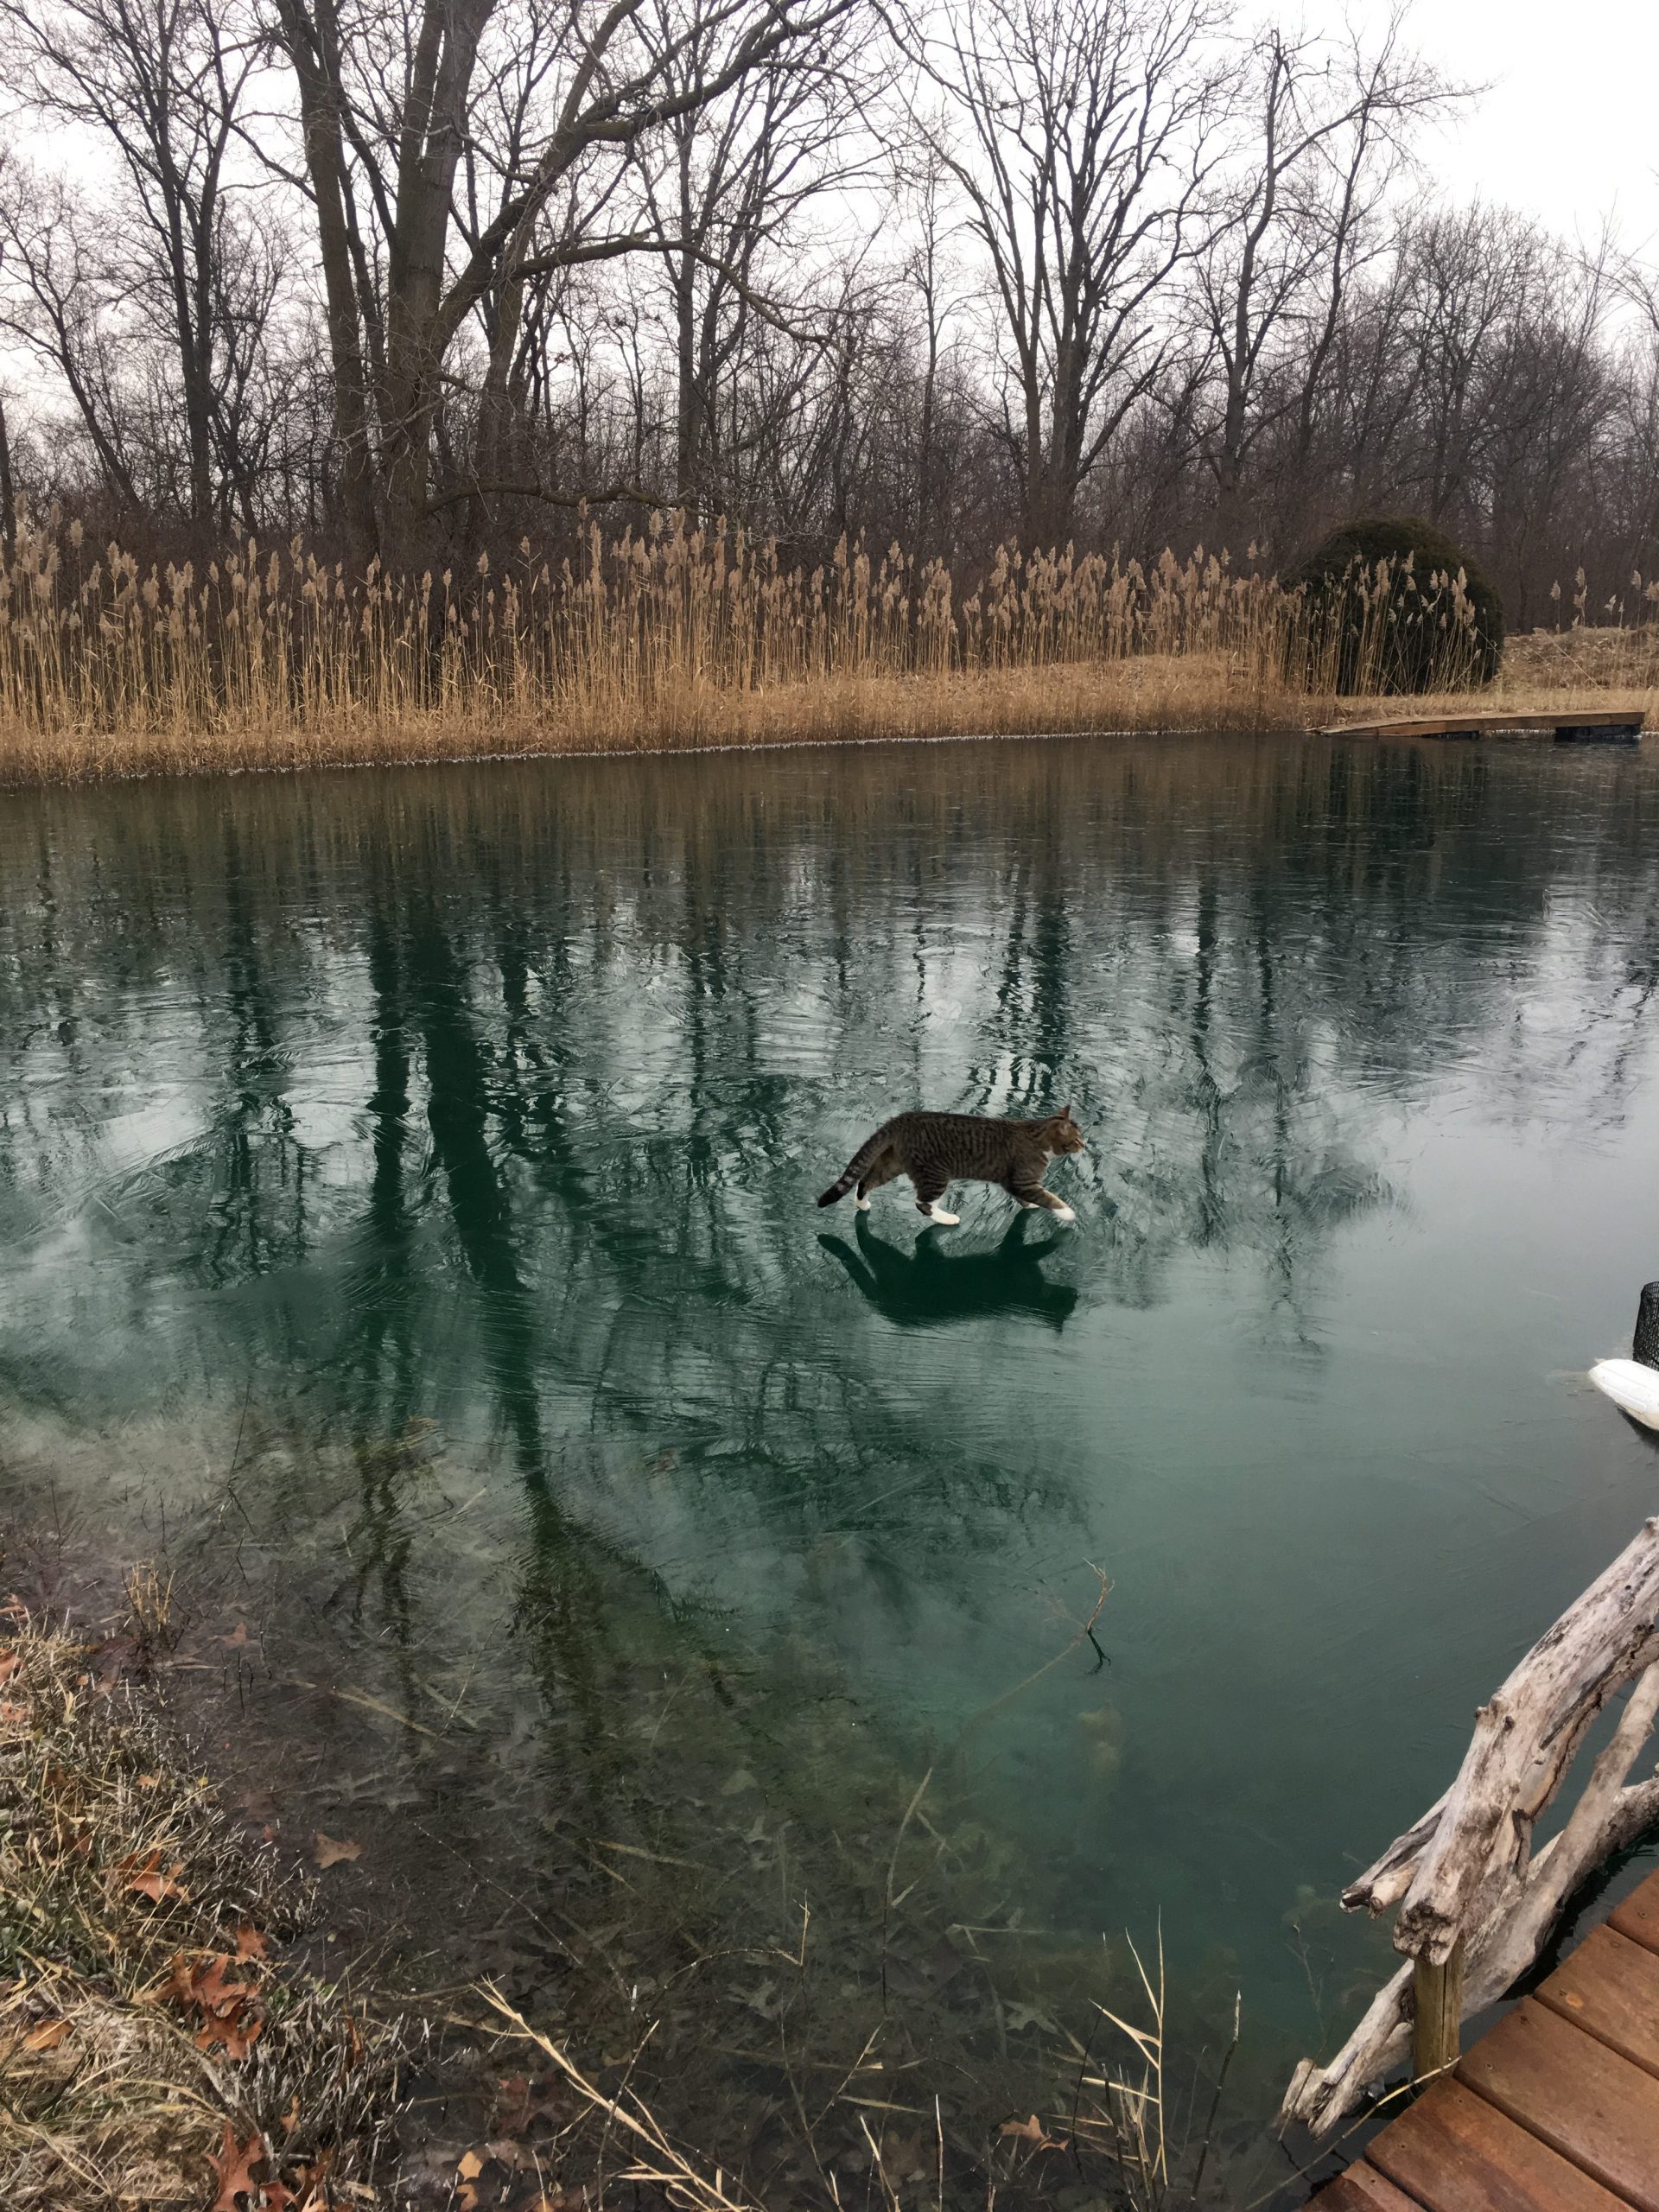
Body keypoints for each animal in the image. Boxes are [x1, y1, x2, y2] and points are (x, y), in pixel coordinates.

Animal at [823, 1106, 1092, 1230]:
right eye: (1077, 1140)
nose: (1086, 1146)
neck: (1036, 1136)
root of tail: (902, 1118)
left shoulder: (1014, 1183)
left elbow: (1030, 1198)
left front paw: (1032, 1205)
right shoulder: (1023, 1181)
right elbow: (1050, 1198)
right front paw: (1068, 1214)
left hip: (893, 1163)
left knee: (865, 1180)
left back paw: (862, 1203)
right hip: (935, 1173)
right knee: (922, 1203)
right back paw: (948, 1219)